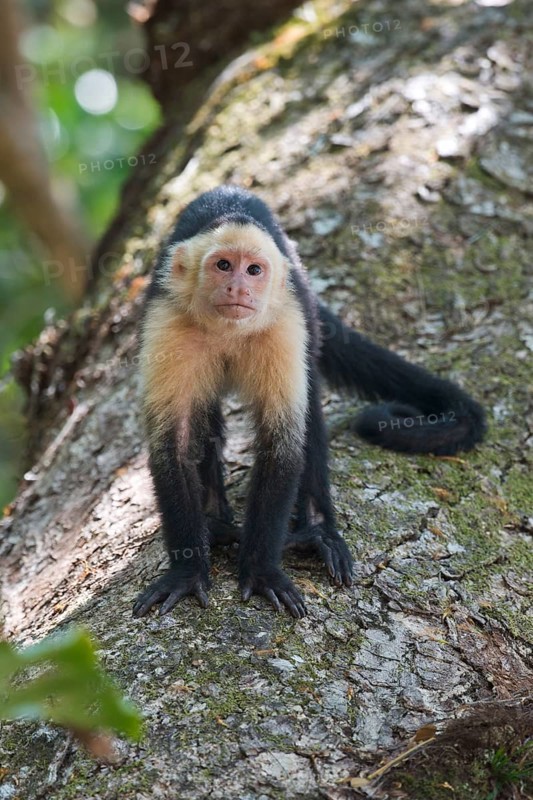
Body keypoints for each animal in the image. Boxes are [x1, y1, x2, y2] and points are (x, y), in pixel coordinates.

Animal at [132, 185, 485, 620]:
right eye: (223, 265)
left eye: (253, 270)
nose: (238, 288)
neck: (228, 330)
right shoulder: (167, 321)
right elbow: (176, 443)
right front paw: (186, 570)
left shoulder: (284, 323)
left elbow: (282, 445)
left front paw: (262, 571)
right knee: (205, 414)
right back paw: (214, 521)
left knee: (311, 407)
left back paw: (316, 530)